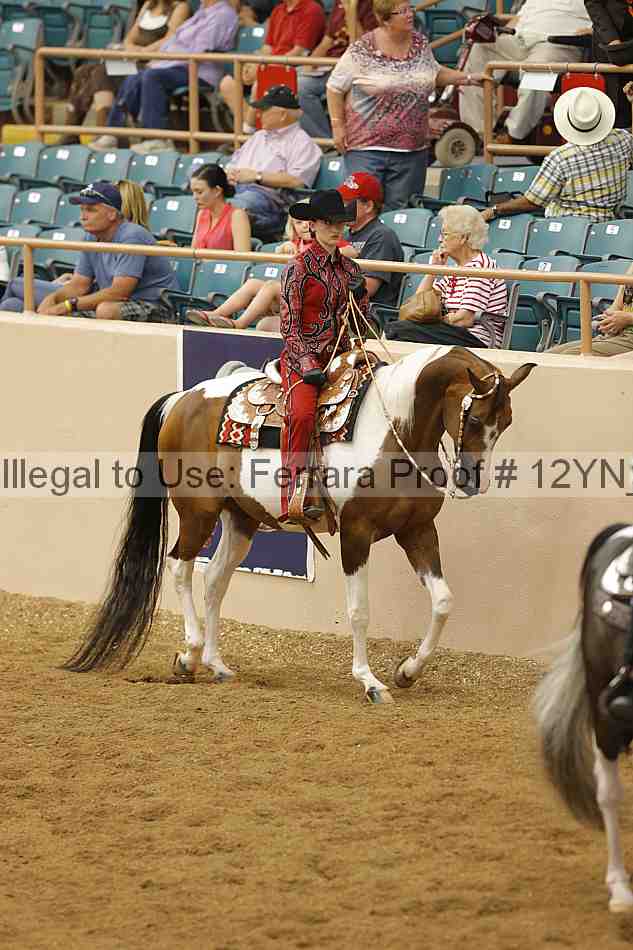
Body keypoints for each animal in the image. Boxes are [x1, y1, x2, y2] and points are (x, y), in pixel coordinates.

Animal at [63, 344, 535, 704]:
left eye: (507, 421)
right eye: (476, 418)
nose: (473, 481)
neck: (395, 429)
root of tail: (184, 398)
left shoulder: (417, 531)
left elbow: (443, 601)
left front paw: (407, 671)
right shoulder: (356, 534)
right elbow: (359, 611)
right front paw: (370, 682)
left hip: (241, 517)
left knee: (215, 580)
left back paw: (216, 664)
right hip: (197, 512)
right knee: (180, 567)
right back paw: (189, 654)